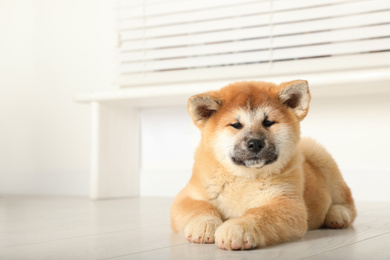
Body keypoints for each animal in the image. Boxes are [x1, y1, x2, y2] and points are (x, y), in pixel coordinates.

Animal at [171, 79, 356, 250]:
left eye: (268, 122)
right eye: (236, 125)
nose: (255, 143)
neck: (243, 177)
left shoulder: (287, 203)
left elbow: (259, 214)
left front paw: (237, 228)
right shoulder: (186, 196)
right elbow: (199, 207)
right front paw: (205, 225)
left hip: (320, 156)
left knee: (349, 204)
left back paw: (337, 214)